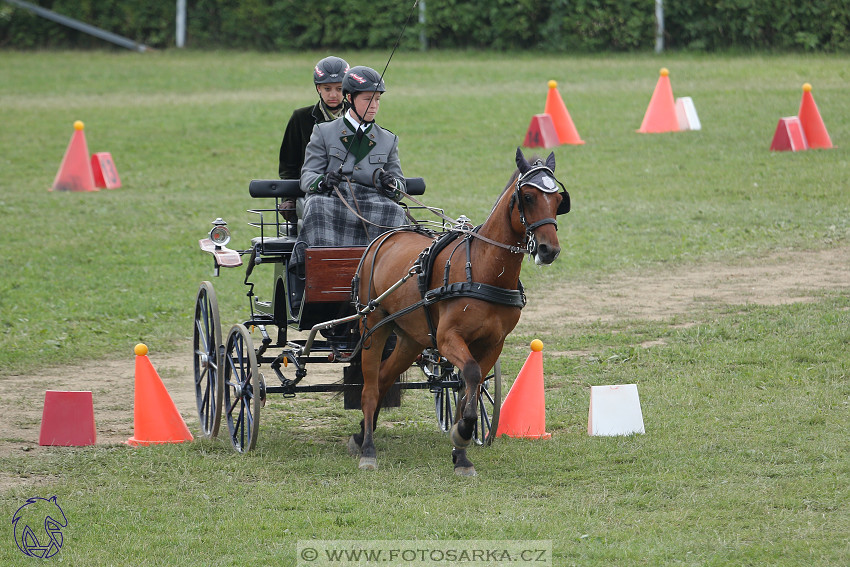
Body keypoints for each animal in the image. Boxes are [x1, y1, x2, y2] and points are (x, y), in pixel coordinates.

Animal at [346, 146, 568, 474]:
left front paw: (461, 450)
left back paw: (363, 432)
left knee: (384, 378)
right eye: (528, 196)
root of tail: (386, 237)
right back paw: (368, 449)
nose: (548, 250)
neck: (484, 270)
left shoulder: (493, 343)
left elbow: (468, 392)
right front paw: (462, 432)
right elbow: (472, 375)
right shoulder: (448, 338)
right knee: (370, 388)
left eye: (558, 201)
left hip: (411, 339)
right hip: (373, 325)